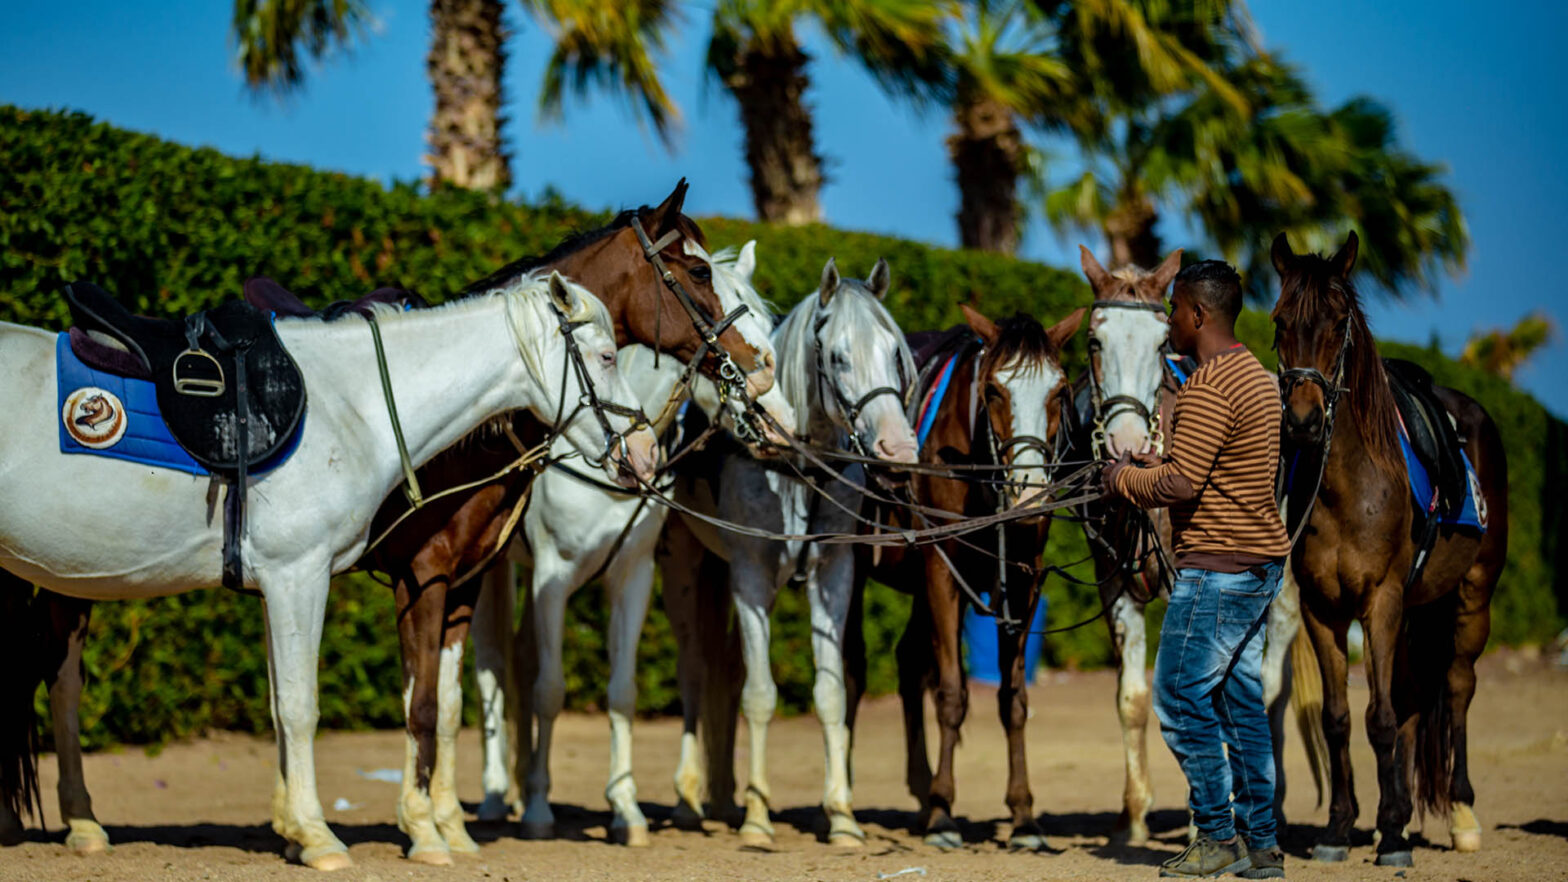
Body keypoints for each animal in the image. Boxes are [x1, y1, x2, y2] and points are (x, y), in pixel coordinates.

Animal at [0, 271, 657, 869]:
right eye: (605, 356)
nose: (646, 451)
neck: (350, 406)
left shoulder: (288, 584)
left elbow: (289, 706)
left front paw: (294, 830)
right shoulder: (301, 576)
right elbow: (301, 706)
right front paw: (321, 836)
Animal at [467, 240, 796, 847]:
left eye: (769, 329)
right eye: (737, 349)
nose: (780, 422)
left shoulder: (632, 576)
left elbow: (621, 691)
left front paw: (625, 809)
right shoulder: (553, 576)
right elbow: (550, 688)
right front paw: (540, 811)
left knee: (517, 660)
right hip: (492, 573)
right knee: (493, 666)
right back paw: (501, 795)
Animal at [659, 257, 918, 847]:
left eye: (894, 352)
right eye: (838, 356)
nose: (898, 451)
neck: (795, 463)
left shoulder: (832, 575)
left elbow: (830, 695)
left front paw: (842, 816)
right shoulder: (752, 576)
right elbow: (760, 695)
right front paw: (758, 819)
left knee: (724, 671)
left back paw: (723, 798)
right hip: (685, 567)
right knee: (694, 670)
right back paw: (688, 799)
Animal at [854, 302, 1086, 850]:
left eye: (1060, 392)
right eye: (995, 391)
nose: (1030, 494)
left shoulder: (1023, 581)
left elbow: (1013, 699)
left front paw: (1023, 817)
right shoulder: (942, 571)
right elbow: (952, 694)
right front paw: (944, 815)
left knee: (907, 660)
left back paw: (921, 792)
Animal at [1271, 231, 1507, 867]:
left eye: (1339, 323)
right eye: (1279, 322)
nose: (1303, 422)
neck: (1348, 485)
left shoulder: (1380, 600)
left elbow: (1378, 717)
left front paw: (1395, 837)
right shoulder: (1323, 611)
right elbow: (1339, 719)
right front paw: (1340, 829)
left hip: (1471, 597)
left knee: (1456, 689)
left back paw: (1461, 815)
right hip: (1414, 610)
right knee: (1410, 698)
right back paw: (1391, 814)